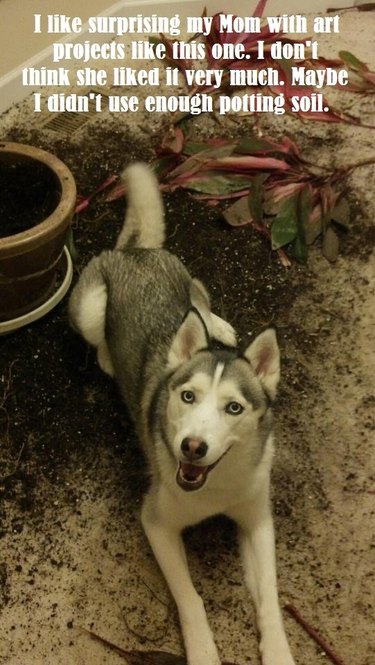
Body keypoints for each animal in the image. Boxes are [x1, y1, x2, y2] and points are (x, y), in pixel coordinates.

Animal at [69, 162, 296, 664]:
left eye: (234, 407)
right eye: (188, 397)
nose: (192, 446)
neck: (215, 485)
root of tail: (136, 251)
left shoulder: (258, 519)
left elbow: (271, 596)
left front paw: (279, 651)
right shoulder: (156, 522)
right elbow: (191, 598)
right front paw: (204, 651)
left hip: (190, 286)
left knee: (202, 307)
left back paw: (220, 327)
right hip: (90, 308)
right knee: (98, 336)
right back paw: (110, 357)